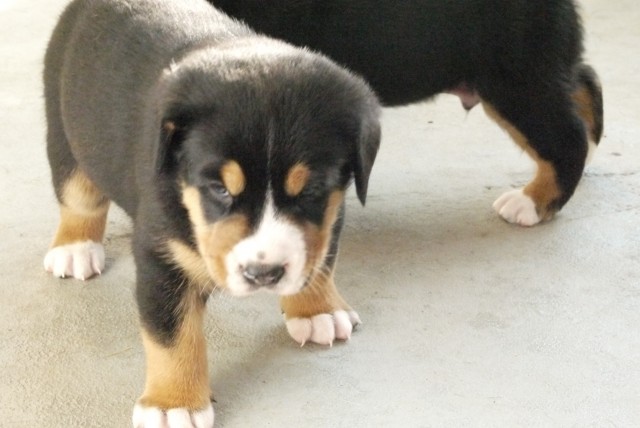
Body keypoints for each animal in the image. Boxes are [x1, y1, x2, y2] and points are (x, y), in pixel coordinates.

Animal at [43, 0, 380, 426]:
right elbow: (172, 336)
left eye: (311, 190)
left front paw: (317, 310)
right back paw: (75, 247)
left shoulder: (330, 216)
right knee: (78, 198)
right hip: (65, 132)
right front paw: (173, 403)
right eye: (219, 189)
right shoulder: (161, 256)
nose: (263, 273)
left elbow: (321, 260)